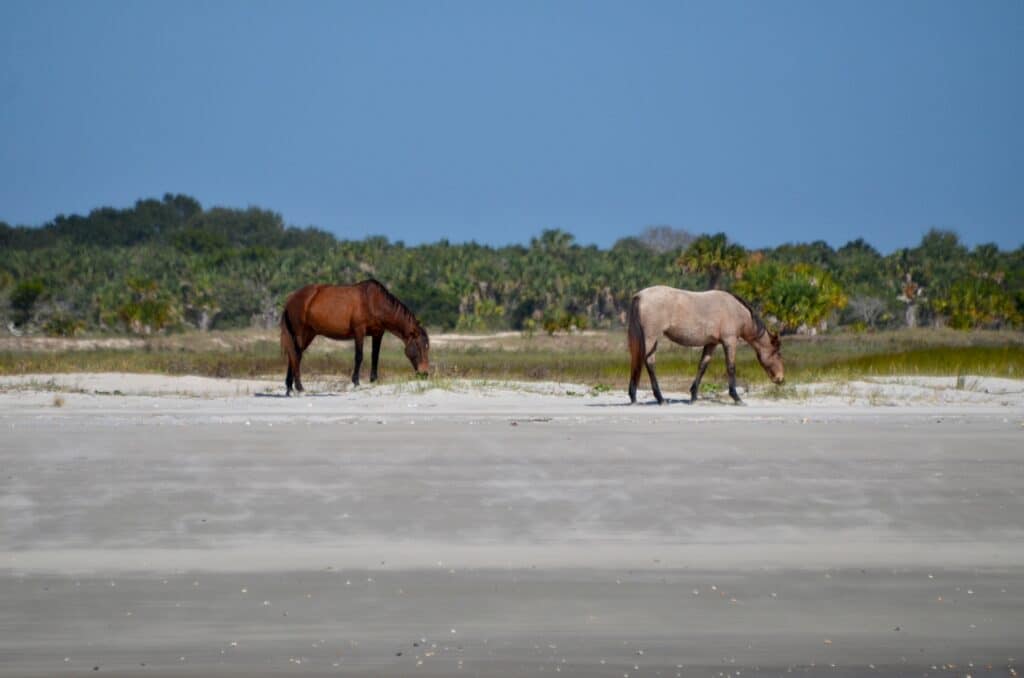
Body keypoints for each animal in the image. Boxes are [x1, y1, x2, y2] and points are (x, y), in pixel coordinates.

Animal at [280, 279, 430, 395]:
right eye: (418, 347)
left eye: (427, 348)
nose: (424, 374)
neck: (373, 301)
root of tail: (291, 299)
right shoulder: (359, 331)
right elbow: (359, 356)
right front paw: (356, 381)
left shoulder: (378, 334)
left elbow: (375, 356)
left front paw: (373, 380)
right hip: (300, 333)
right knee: (296, 356)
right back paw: (299, 387)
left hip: (309, 334)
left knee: (294, 356)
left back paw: (289, 387)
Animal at [627, 286, 783, 405]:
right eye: (777, 354)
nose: (781, 379)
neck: (735, 311)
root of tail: (639, 296)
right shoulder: (730, 342)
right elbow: (731, 367)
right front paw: (736, 398)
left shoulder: (711, 344)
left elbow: (702, 366)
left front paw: (693, 396)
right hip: (651, 338)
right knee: (649, 363)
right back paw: (660, 399)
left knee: (636, 362)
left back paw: (633, 397)